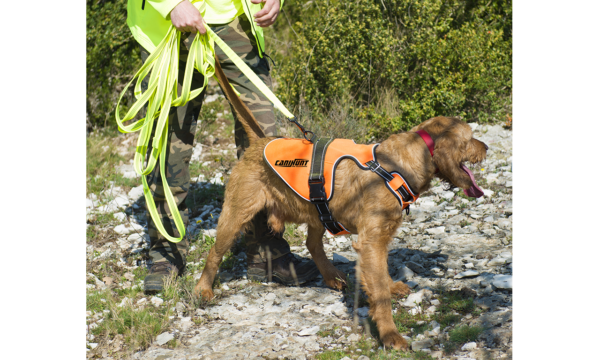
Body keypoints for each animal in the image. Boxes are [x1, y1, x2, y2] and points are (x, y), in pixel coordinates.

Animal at [195, 114, 486, 348]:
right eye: (470, 138)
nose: (487, 147)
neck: (397, 166)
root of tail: (258, 141)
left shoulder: (379, 238)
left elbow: (381, 276)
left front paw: (391, 287)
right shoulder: (372, 240)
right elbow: (379, 293)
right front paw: (390, 335)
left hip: (318, 212)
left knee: (313, 245)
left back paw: (331, 276)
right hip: (235, 214)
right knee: (214, 253)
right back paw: (203, 289)